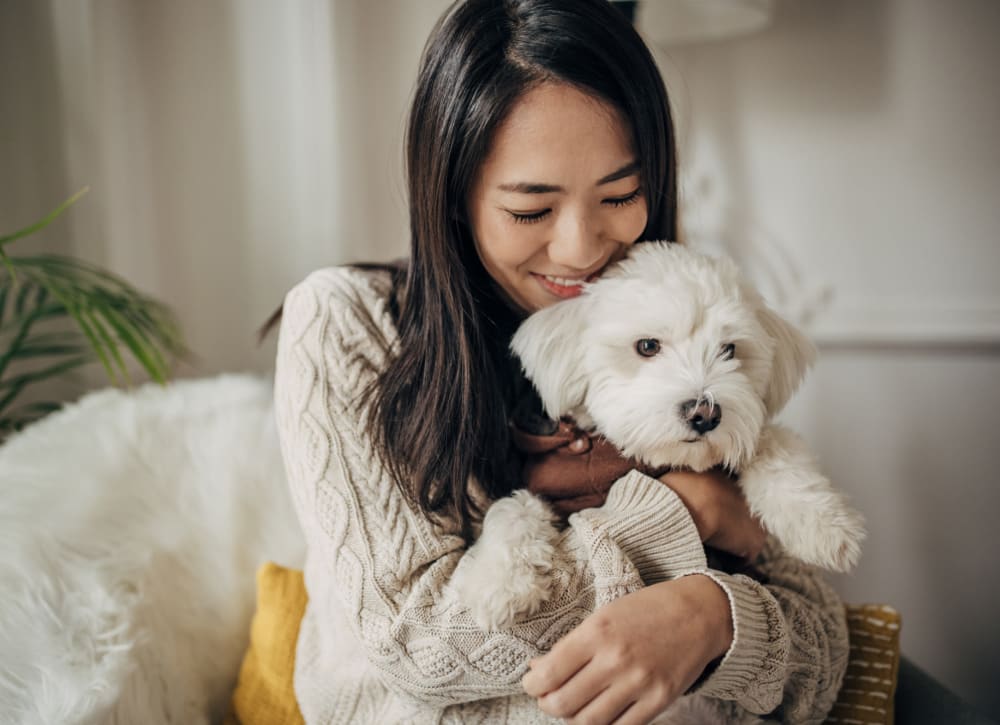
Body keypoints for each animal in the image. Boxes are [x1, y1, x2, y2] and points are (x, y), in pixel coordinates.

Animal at [454, 242, 868, 628]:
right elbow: (512, 507)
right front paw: (500, 583)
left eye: (730, 350)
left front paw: (824, 525)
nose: (705, 413)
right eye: (648, 346)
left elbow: (774, 445)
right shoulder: (551, 488)